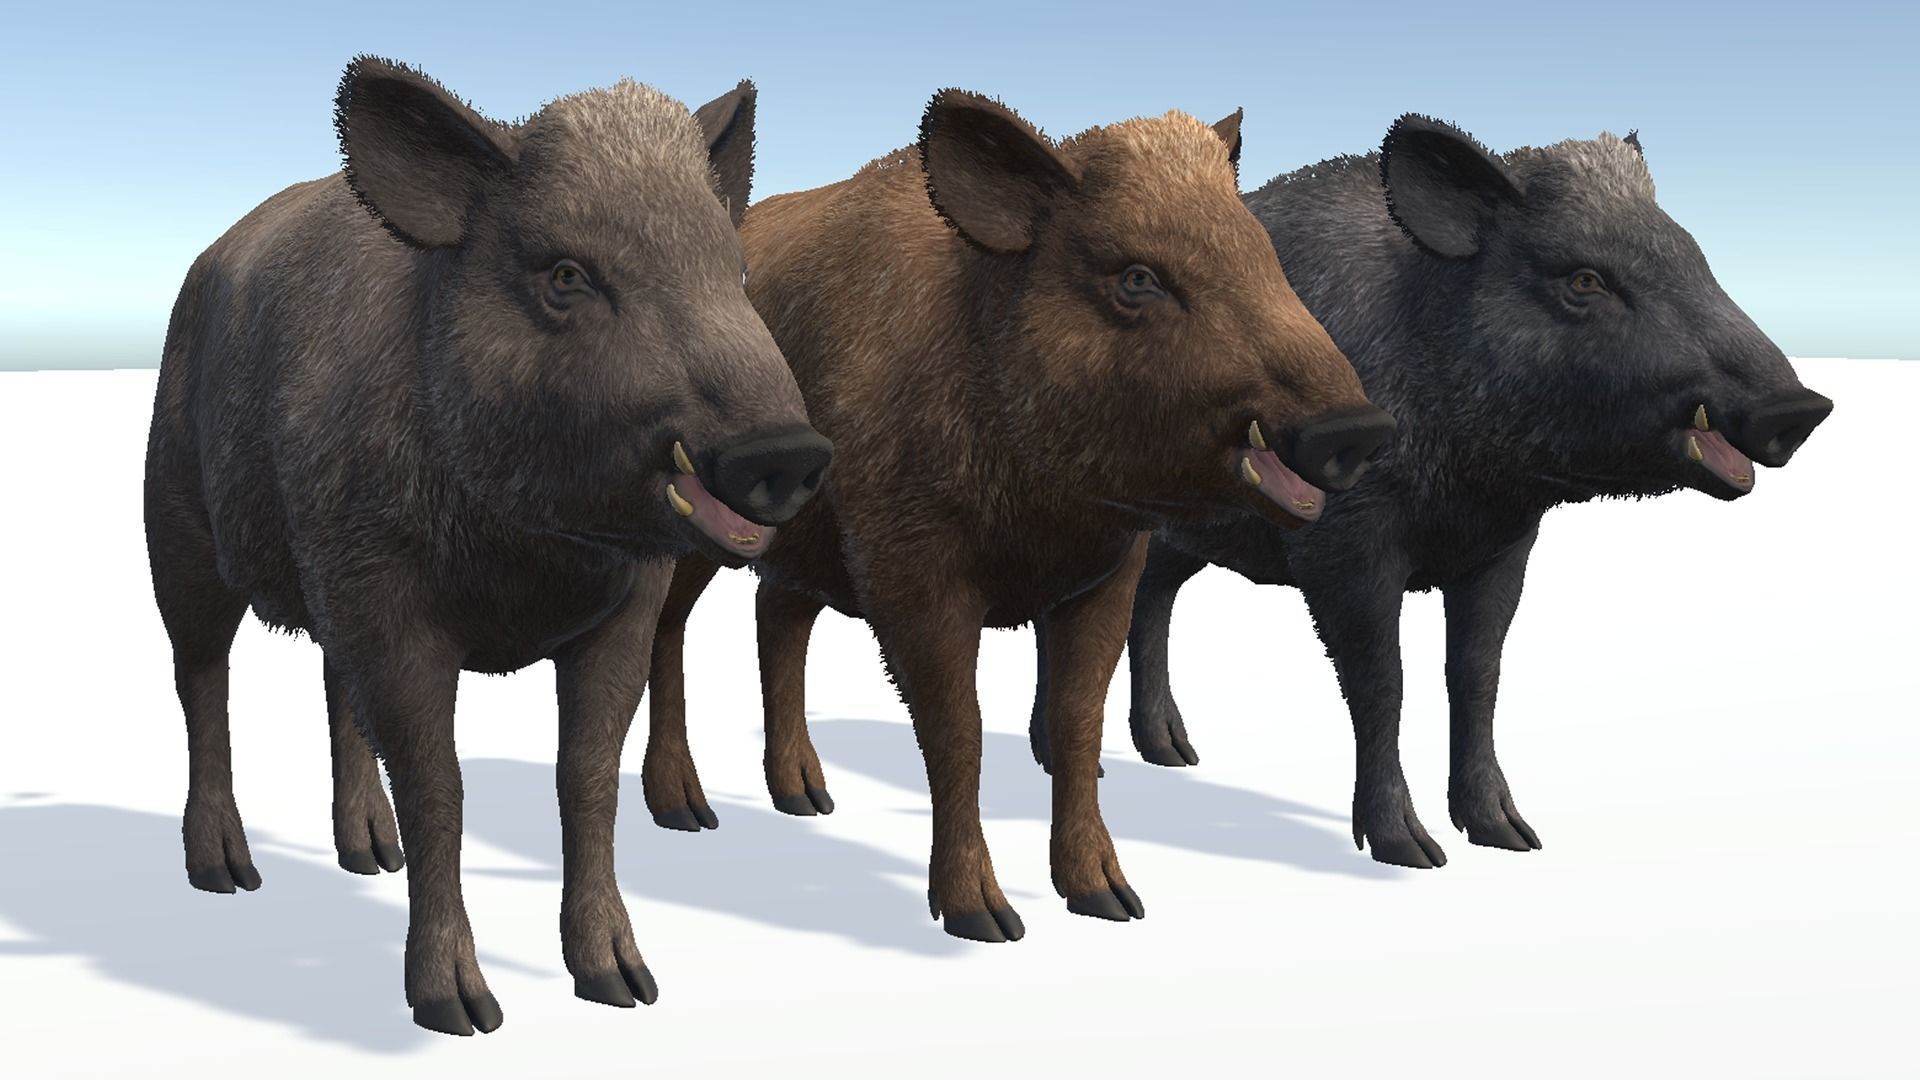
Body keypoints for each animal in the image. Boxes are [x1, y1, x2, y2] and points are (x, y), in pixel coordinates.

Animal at [142, 55, 831, 1035]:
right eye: (568, 274)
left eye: (733, 273)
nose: (788, 450)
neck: (528, 556)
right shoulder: (387, 601)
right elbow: (440, 786)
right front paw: (461, 1011)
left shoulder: (626, 603)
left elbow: (585, 775)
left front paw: (626, 984)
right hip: (178, 529)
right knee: (201, 679)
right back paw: (226, 875)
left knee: (331, 685)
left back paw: (369, 855)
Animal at [637, 90, 1396, 942]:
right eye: (1137, 276)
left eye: (1262, 255)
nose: (1358, 428)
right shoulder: (912, 571)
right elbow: (955, 730)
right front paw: (985, 917)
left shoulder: (1107, 574)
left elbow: (1077, 723)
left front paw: (1111, 899)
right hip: (702, 534)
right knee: (673, 630)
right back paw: (687, 811)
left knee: (777, 612)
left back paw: (807, 796)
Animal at [1028, 115, 1833, 869]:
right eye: (1584, 281)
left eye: (1696, 258)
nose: (1800, 406)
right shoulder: (1345, 544)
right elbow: (1381, 682)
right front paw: (1410, 848)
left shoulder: (1503, 547)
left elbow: (1477, 675)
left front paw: (1510, 834)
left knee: (1151, 600)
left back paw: (1171, 752)